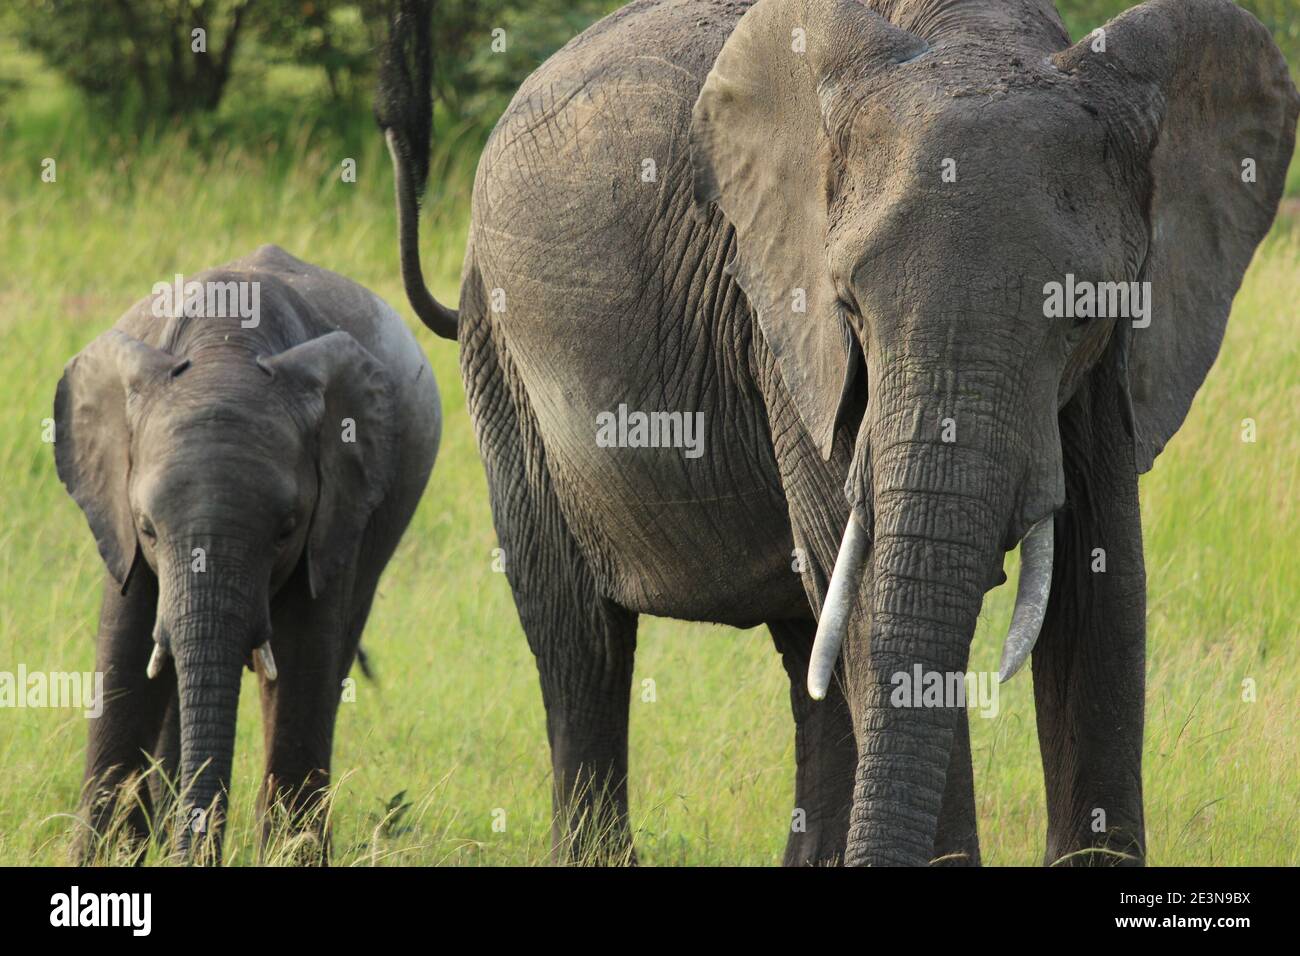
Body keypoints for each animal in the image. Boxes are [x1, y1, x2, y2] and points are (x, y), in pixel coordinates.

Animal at [54, 244, 441, 858]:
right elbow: (126, 655)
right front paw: (108, 858)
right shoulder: (116, 515)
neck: (225, 349)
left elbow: (303, 666)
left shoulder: (336, 513)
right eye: (148, 529)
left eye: (286, 531)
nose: (195, 856)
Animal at [379, 0, 1294, 868]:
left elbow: (1101, 589)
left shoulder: (1123, 348)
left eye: (1080, 314)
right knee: (580, 638)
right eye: (849, 306)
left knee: (801, 642)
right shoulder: (784, 318)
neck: (974, 33)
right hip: (502, 357)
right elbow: (869, 589)